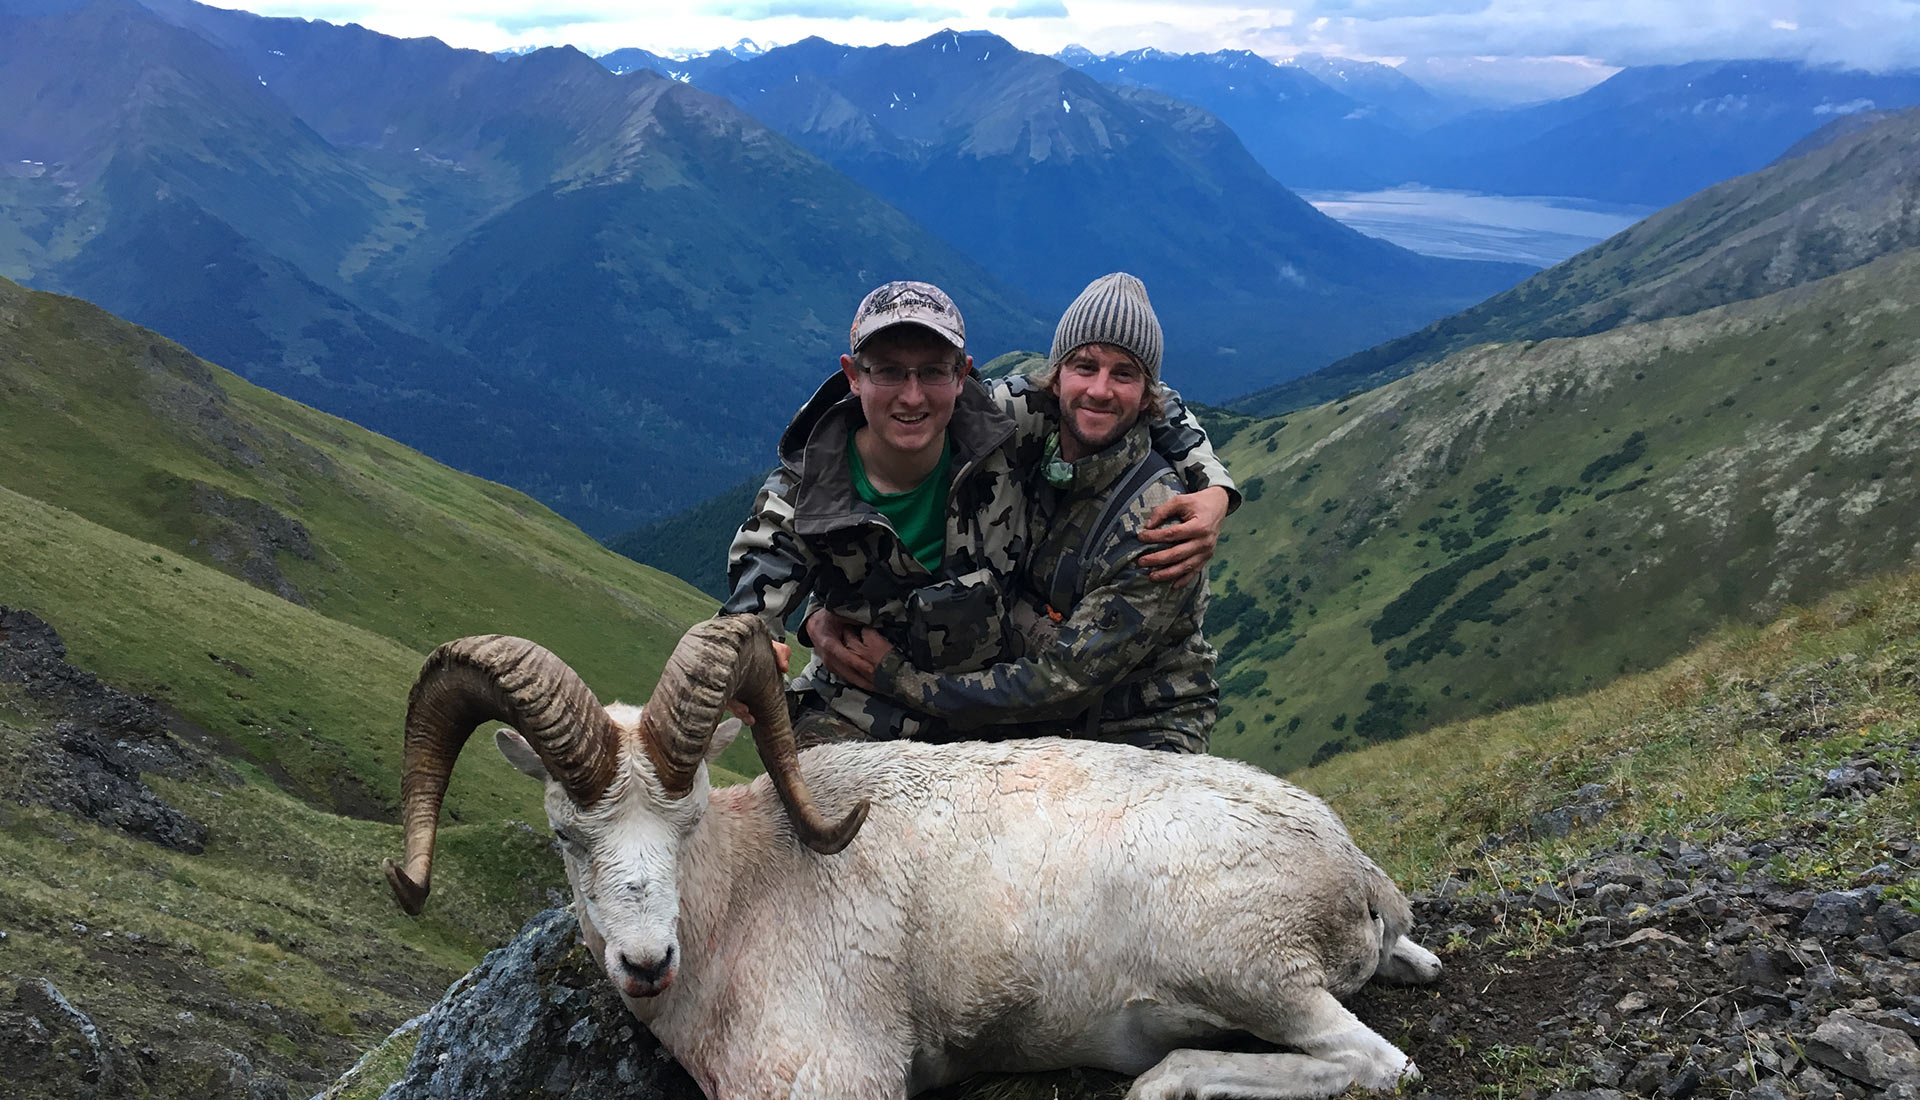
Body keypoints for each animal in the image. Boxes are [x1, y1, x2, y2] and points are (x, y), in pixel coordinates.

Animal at [384, 614, 1441, 1100]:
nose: (646, 963)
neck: (741, 900)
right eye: (569, 834)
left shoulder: (832, 1076)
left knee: (1378, 1063)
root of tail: (1358, 876)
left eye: (686, 823)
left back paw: (1164, 1081)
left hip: (1247, 973)